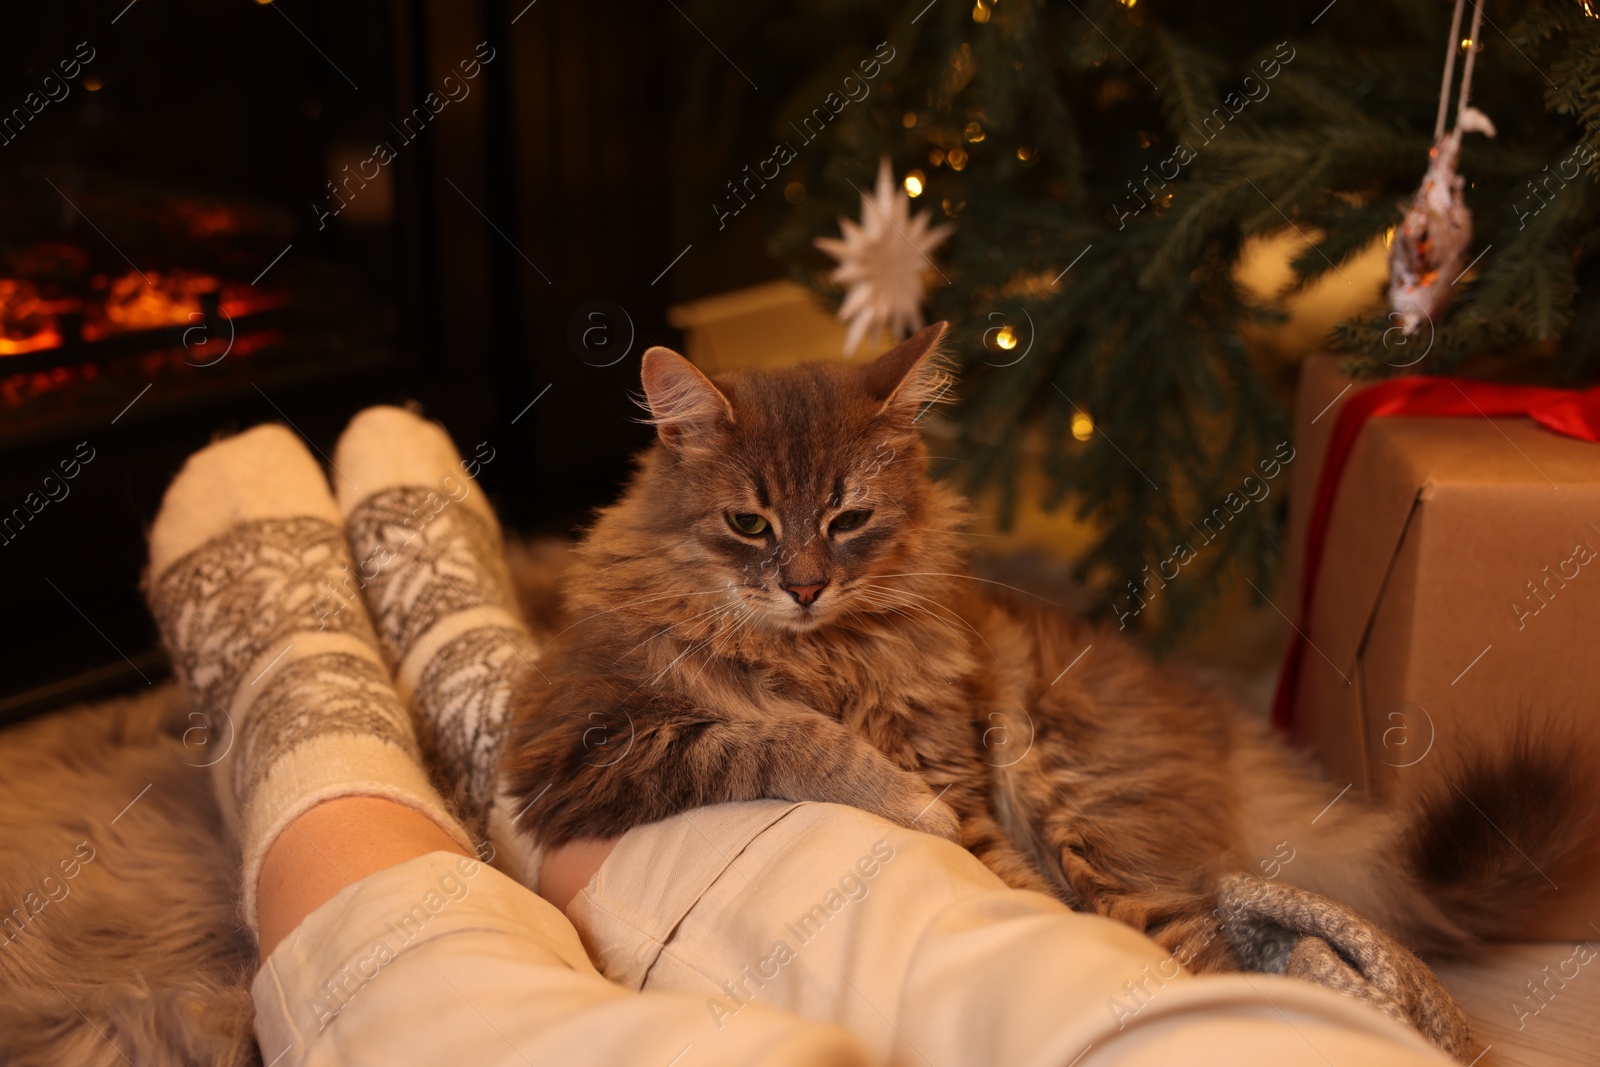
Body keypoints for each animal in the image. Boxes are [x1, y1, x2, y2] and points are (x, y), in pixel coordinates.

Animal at [502, 323, 1587, 966]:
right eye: (748, 523)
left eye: (847, 519)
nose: (805, 584)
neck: (826, 653)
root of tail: (1217, 719)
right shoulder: (584, 746)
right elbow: (779, 736)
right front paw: (899, 799)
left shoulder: (962, 765)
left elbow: (985, 861)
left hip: (1072, 794)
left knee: (1194, 949)